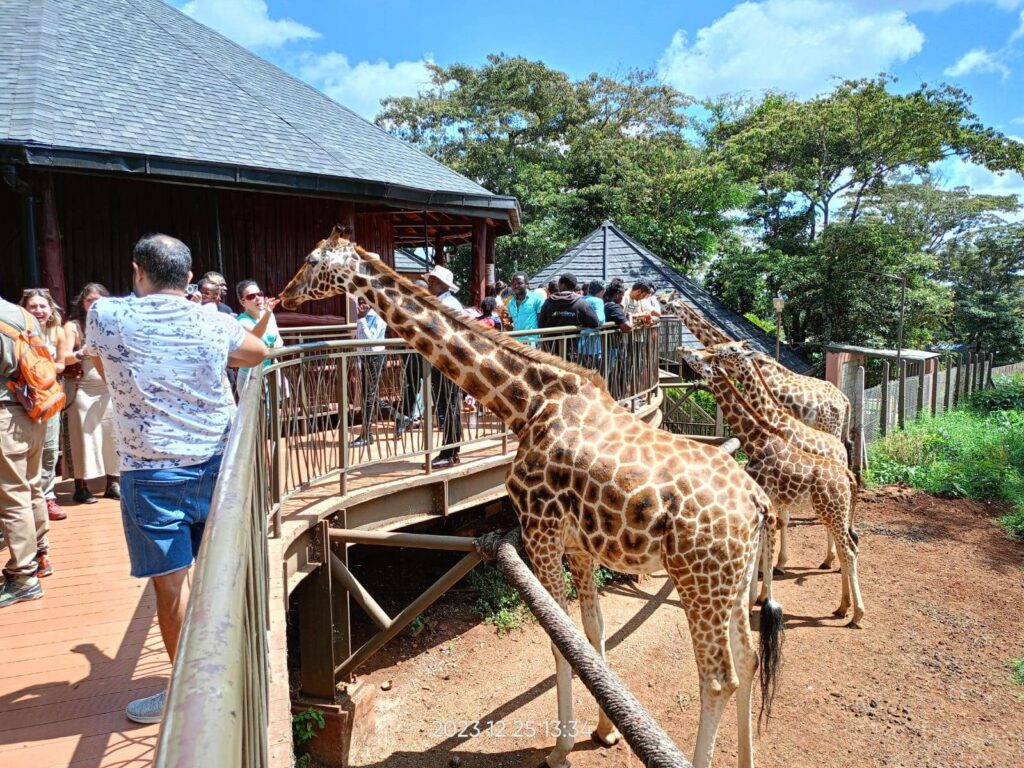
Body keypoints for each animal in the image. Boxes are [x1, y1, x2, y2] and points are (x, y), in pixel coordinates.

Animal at [280, 228, 785, 768]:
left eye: (312, 261)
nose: (283, 297)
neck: (527, 405)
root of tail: (757, 503)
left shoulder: (540, 531)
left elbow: (559, 640)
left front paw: (561, 747)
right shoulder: (579, 546)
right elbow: (591, 632)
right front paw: (604, 730)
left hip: (699, 580)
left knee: (718, 678)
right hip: (732, 583)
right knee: (749, 657)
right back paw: (748, 758)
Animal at [707, 341, 852, 573]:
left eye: (733, 350)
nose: (714, 352)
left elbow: (781, 518)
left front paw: (776, 564)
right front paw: (776, 563)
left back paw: (831, 560)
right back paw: (829, 560)